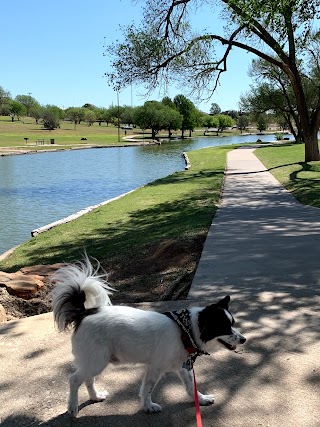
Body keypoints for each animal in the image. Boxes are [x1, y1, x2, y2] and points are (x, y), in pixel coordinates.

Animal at [51, 258, 246, 418]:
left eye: (233, 323)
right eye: (224, 327)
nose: (244, 339)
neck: (186, 329)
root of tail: (84, 313)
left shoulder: (183, 367)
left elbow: (191, 387)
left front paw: (202, 399)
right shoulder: (155, 367)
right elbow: (147, 389)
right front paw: (148, 406)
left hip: (95, 361)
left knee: (88, 379)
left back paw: (95, 396)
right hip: (97, 360)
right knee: (74, 379)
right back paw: (72, 408)